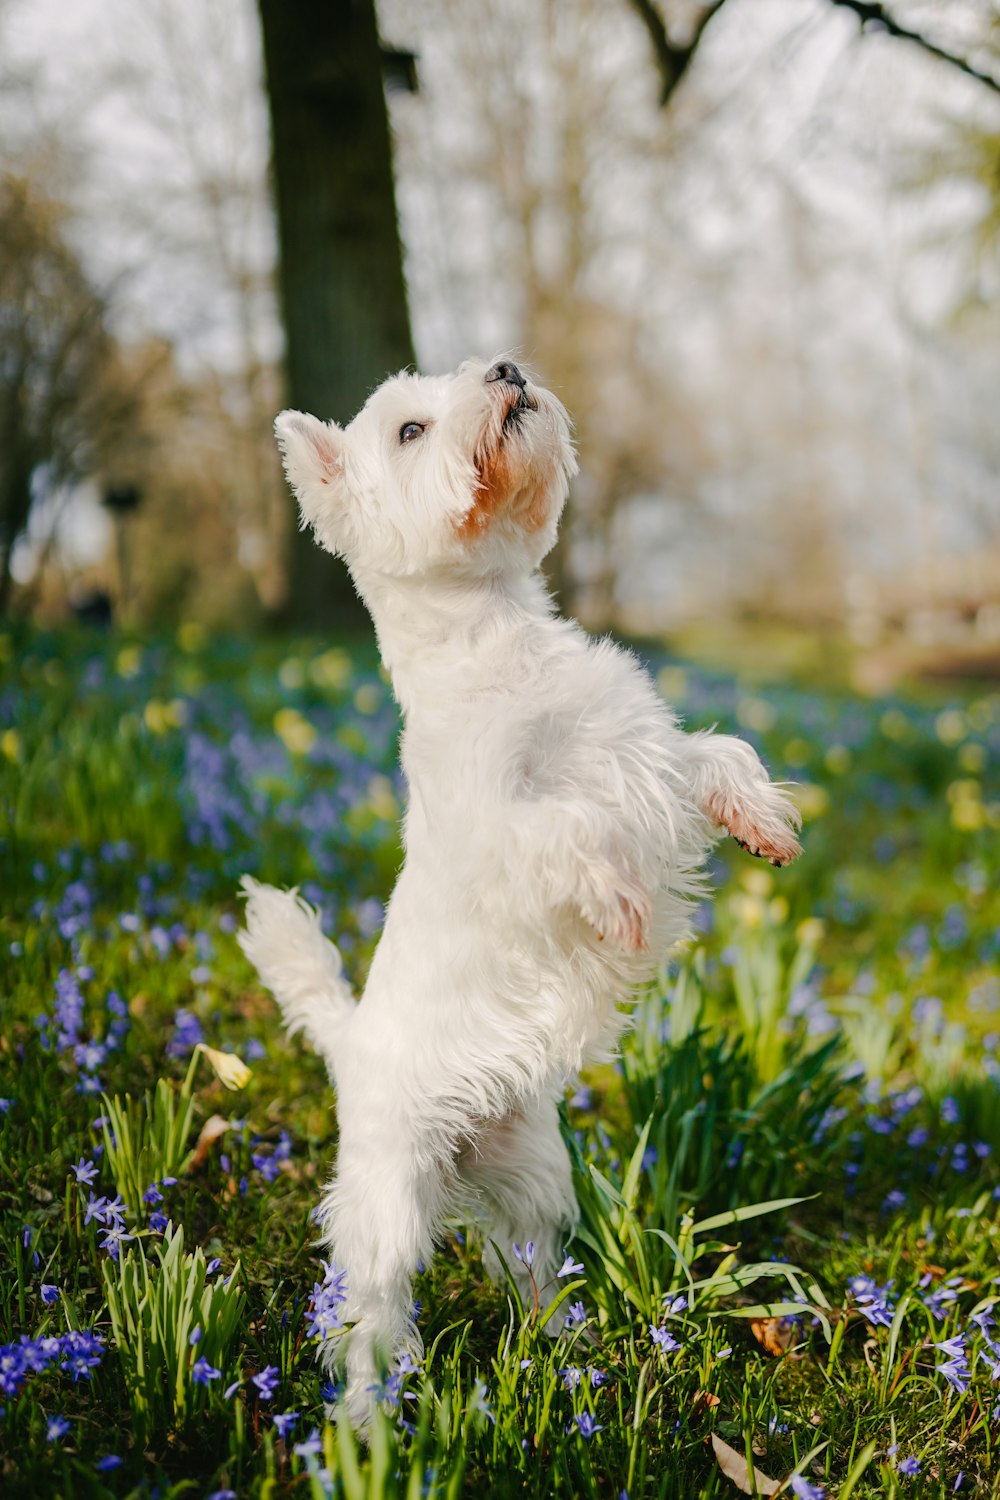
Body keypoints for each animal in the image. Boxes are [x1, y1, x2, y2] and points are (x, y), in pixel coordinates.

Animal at [238, 357, 803, 1422]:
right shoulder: (507, 825)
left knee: (529, 1264)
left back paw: (565, 1348)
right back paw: (369, 1419)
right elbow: (573, 835)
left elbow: (719, 752)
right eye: (410, 428)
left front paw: (764, 822)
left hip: (536, 1171)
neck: (498, 638)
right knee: (371, 1314)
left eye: (460, 374)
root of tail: (352, 1046)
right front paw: (623, 906)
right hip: (389, 1203)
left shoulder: (649, 758)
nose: (505, 370)